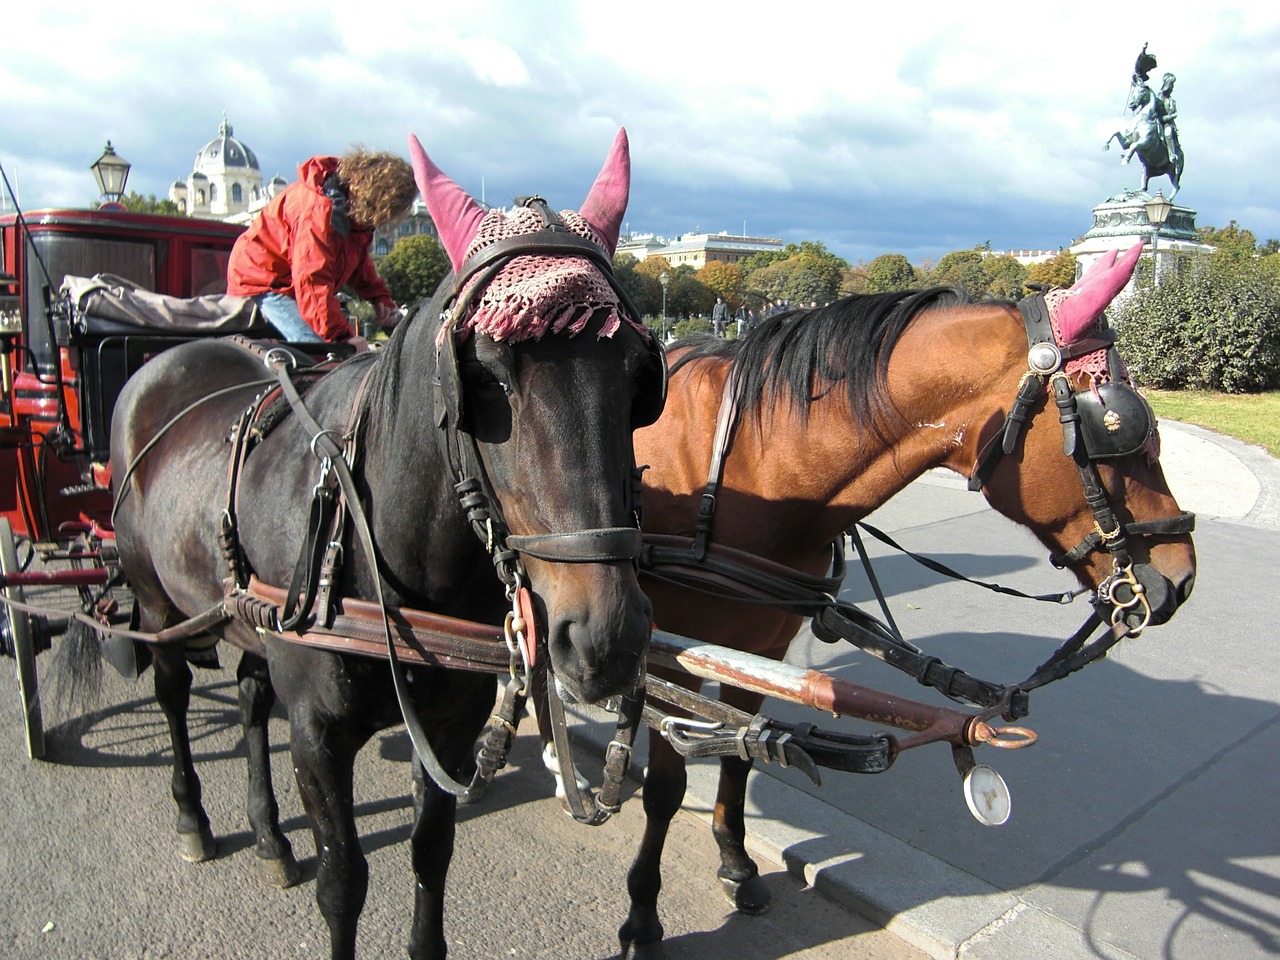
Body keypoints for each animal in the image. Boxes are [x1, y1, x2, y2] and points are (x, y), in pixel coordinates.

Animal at [614, 245, 1192, 957]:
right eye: (1118, 426)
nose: (1180, 575)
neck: (745, 470)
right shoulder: (672, 655)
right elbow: (667, 786)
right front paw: (644, 913)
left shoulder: (757, 647)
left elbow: (739, 757)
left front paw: (737, 862)